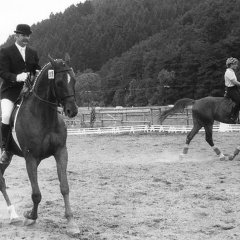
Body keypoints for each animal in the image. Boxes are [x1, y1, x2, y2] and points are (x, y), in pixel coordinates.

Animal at [0, 54, 80, 234]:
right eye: (59, 82)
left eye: (74, 80)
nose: (72, 111)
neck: (43, 116)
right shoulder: (30, 158)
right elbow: (36, 194)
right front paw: (30, 217)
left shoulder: (61, 152)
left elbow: (64, 187)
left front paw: (71, 222)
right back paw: (14, 215)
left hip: (7, 156)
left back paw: (13, 215)